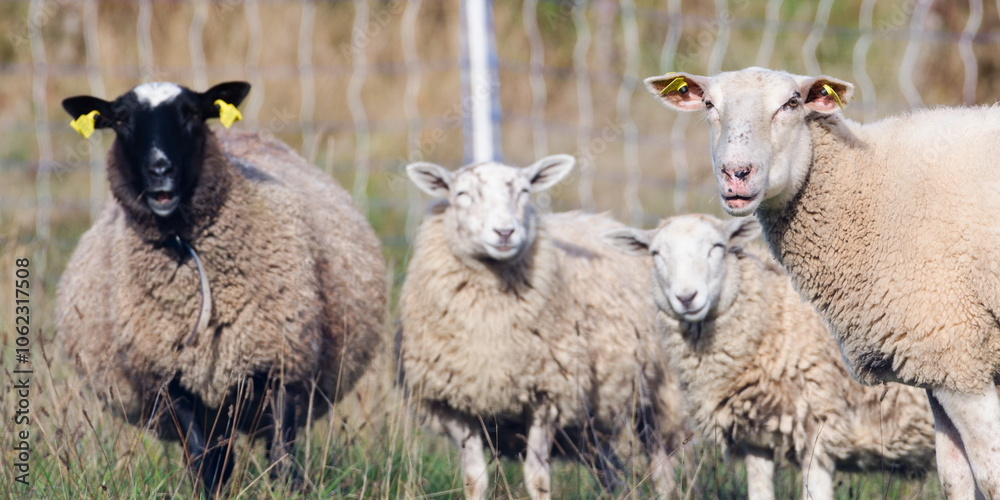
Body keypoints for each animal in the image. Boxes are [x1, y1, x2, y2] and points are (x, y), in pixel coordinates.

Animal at [56, 81, 386, 496]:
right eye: (121, 120)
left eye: (191, 114)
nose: (159, 169)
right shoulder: (170, 382)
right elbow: (205, 463)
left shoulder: (283, 365)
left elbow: (282, 462)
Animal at [398, 155, 686, 499]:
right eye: (462, 194)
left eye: (525, 191)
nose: (505, 232)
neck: (490, 335)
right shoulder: (455, 404)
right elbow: (474, 479)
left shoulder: (549, 396)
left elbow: (537, 479)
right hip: (590, 421)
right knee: (611, 471)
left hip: (658, 389)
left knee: (662, 463)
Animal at [604, 214, 936, 500]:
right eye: (656, 253)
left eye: (717, 247)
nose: (687, 298)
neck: (773, 316)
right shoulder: (754, 438)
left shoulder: (818, 429)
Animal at [644, 66, 1000, 498]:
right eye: (709, 104)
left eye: (792, 103)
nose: (736, 174)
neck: (868, 189)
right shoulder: (939, 361)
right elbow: (955, 477)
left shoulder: (956, 353)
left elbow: (991, 476)